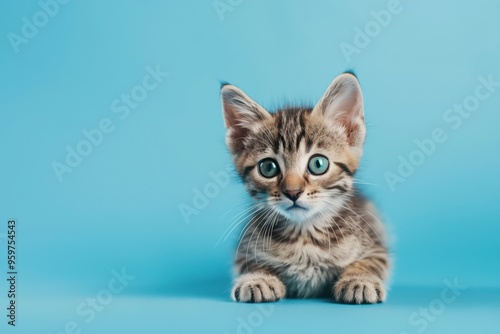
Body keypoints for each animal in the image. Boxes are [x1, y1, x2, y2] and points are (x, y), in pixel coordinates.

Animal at [221, 72, 388, 304]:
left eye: (318, 164)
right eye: (268, 167)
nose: (293, 192)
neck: (304, 234)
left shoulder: (375, 243)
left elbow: (370, 262)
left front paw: (359, 280)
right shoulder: (245, 248)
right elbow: (250, 262)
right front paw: (258, 279)